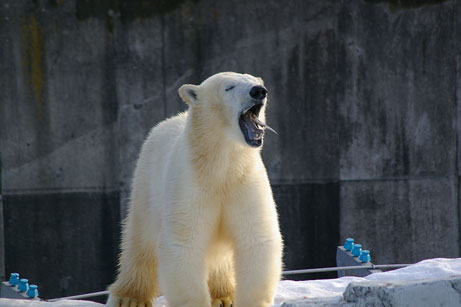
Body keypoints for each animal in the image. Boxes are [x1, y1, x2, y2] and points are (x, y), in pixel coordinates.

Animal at [106, 73, 282, 307]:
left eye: (254, 81)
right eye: (229, 87)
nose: (258, 91)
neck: (219, 166)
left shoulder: (244, 180)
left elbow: (256, 238)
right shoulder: (191, 183)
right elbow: (184, 242)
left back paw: (224, 296)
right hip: (146, 183)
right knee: (141, 240)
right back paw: (129, 297)